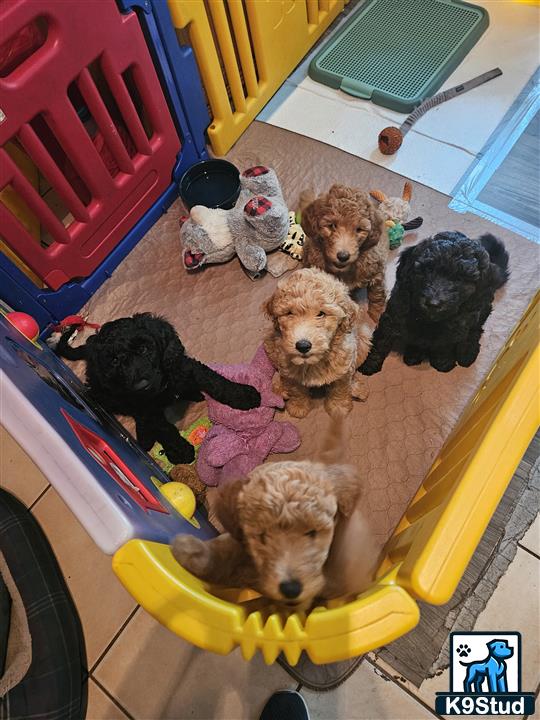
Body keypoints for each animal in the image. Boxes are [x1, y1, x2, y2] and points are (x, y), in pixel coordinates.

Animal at [57, 314, 262, 462]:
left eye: (143, 349)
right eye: (114, 361)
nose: (141, 385)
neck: (161, 388)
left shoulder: (186, 367)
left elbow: (215, 381)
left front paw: (244, 396)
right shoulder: (146, 409)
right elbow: (165, 429)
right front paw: (181, 451)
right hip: (108, 394)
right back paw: (145, 437)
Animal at [262, 268, 372, 420]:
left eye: (321, 314)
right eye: (289, 313)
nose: (302, 346)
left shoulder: (344, 366)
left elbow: (341, 388)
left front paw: (339, 408)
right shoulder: (290, 371)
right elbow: (296, 390)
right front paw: (298, 407)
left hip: (363, 340)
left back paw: (357, 388)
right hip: (270, 345)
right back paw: (281, 387)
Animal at [304, 186, 388, 320]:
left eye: (359, 229)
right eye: (332, 226)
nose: (343, 256)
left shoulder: (376, 268)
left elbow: (377, 292)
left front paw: (378, 313)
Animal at [360, 232, 508, 376]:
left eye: (460, 279)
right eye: (427, 270)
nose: (433, 303)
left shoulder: (455, 326)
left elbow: (443, 345)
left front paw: (443, 363)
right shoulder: (394, 314)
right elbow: (381, 342)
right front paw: (369, 365)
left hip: (481, 307)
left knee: (475, 330)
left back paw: (467, 354)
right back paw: (413, 354)